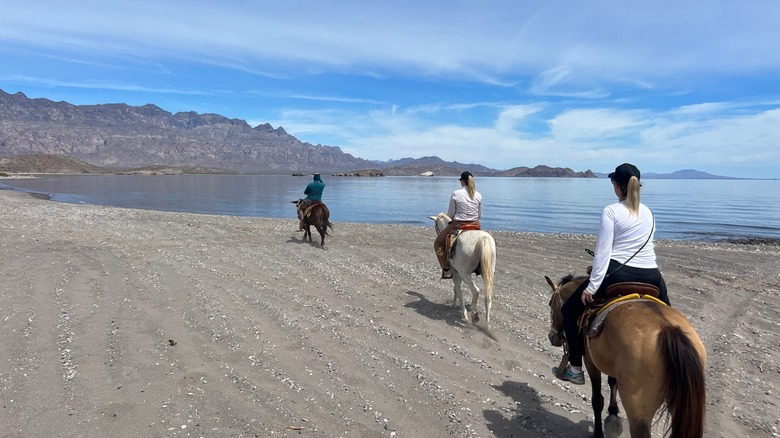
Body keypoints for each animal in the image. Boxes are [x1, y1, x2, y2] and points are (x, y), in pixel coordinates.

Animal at [544, 274, 704, 438]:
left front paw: (598, 433)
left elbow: (597, 400)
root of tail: (669, 329)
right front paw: (613, 416)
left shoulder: (591, 362)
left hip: (637, 407)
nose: (552, 337)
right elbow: (612, 382)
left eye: (550, 304)